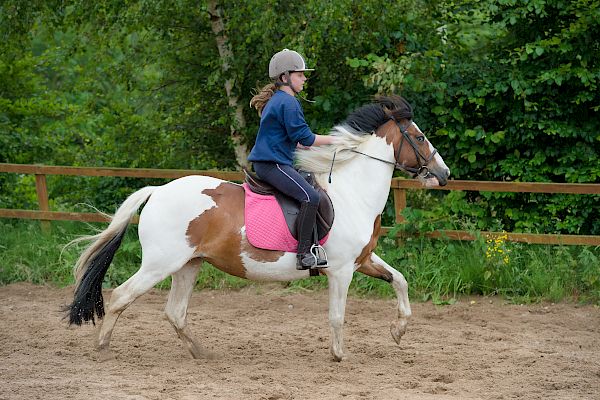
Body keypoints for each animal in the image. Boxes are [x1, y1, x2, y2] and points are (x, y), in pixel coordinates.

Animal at [65, 95, 450, 360]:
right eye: (419, 137)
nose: (444, 174)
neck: (353, 193)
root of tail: (157, 191)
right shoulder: (341, 271)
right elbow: (338, 315)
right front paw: (340, 355)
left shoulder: (363, 260)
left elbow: (399, 280)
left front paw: (398, 330)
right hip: (160, 264)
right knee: (121, 296)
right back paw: (102, 347)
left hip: (188, 264)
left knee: (174, 312)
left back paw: (201, 352)